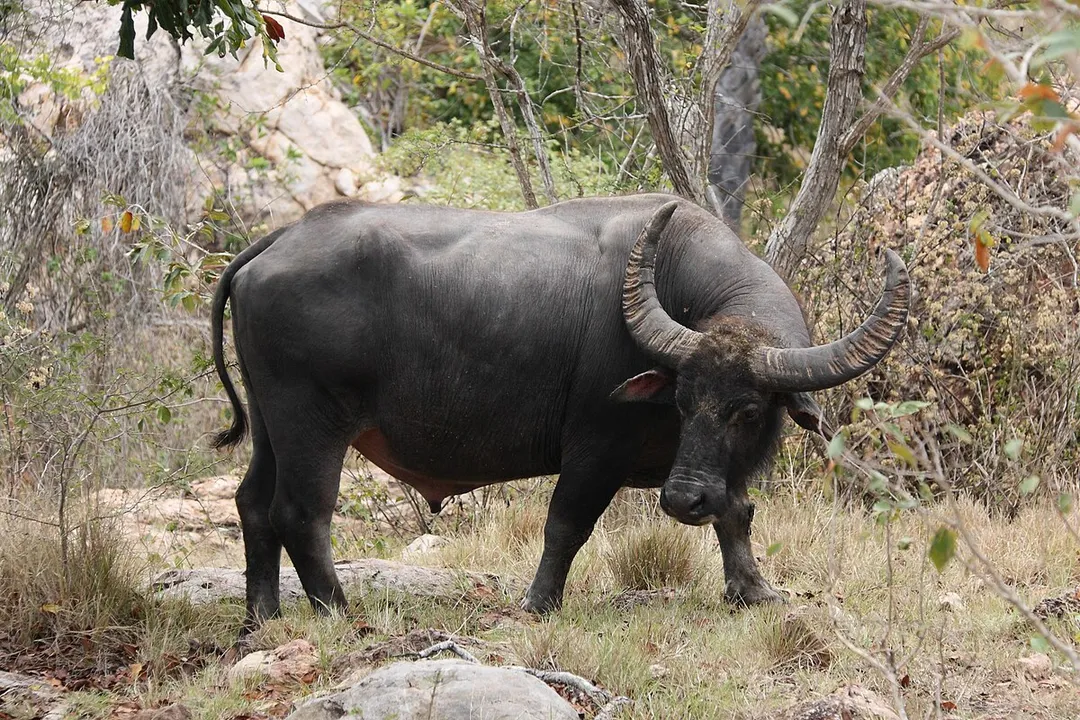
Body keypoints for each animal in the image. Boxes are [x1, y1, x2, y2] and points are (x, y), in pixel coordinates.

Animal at [211, 193, 909, 627]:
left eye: (745, 411)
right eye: (682, 401)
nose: (681, 500)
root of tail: (278, 242)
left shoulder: (717, 468)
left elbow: (736, 512)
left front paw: (753, 590)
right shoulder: (595, 449)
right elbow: (567, 524)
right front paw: (539, 602)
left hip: (272, 427)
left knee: (253, 504)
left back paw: (262, 615)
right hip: (311, 424)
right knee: (302, 513)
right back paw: (337, 610)